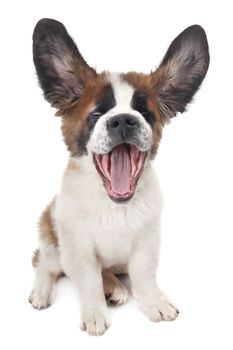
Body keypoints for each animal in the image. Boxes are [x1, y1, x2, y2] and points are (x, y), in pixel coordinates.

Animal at [29, 19, 209, 336]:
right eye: (96, 114)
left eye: (144, 113)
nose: (124, 120)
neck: (113, 206)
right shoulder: (77, 246)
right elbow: (88, 279)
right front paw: (94, 313)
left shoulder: (147, 240)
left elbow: (144, 275)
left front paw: (153, 300)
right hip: (51, 239)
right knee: (45, 264)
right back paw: (43, 291)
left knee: (110, 270)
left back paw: (113, 286)